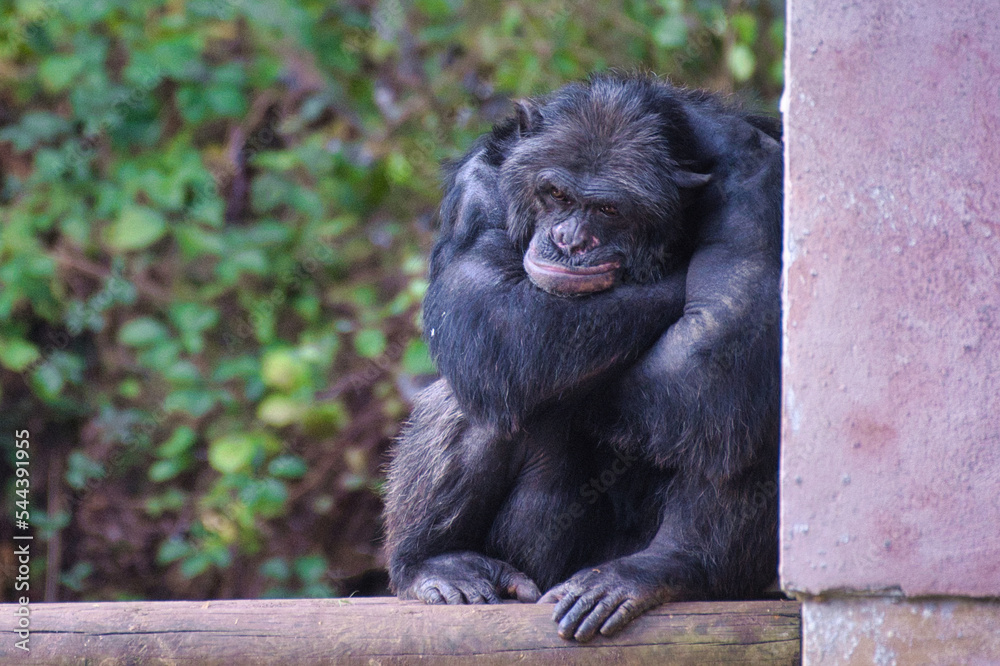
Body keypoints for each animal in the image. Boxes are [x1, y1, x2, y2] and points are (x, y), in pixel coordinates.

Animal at [382, 72, 780, 640]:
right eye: (554, 193)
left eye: (609, 209)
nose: (569, 240)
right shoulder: (477, 187)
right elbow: (492, 316)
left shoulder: (758, 178)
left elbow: (715, 340)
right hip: (537, 562)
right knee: (483, 387)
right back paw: (433, 563)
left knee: (738, 401)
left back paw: (658, 570)